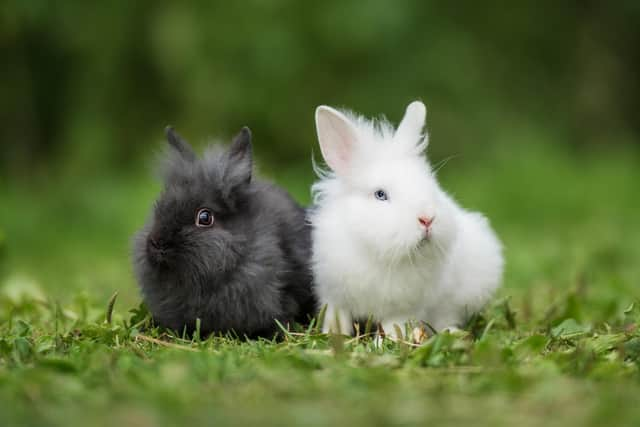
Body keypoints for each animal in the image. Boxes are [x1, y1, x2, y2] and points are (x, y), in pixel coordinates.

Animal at [312, 102, 504, 340]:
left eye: (431, 186)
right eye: (380, 194)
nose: (427, 219)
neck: (379, 254)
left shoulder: (402, 309)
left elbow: (394, 327)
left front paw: (386, 342)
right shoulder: (334, 297)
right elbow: (336, 319)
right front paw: (333, 336)